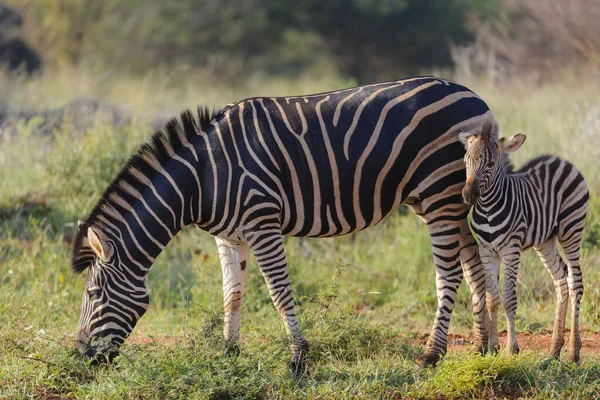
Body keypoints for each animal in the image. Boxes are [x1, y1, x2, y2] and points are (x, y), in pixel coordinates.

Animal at [72, 75, 494, 368]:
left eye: (93, 293)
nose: (80, 357)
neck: (202, 176)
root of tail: (477, 98)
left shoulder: (262, 223)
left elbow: (278, 292)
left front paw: (297, 357)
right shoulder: (229, 236)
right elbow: (232, 294)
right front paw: (229, 352)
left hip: (438, 192)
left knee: (449, 272)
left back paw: (433, 354)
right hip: (441, 199)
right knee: (473, 262)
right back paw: (483, 346)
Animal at [462, 122, 588, 362]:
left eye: (490, 164)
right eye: (466, 162)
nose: (468, 195)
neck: (488, 209)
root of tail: (561, 161)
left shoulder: (511, 250)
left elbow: (509, 298)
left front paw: (511, 348)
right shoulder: (487, 252)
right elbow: (492, 299)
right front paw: (493, 347)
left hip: (571, 230)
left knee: (576, 282)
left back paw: (573, 352)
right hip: (545, 241)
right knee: (561, 279)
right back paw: (554, 351)